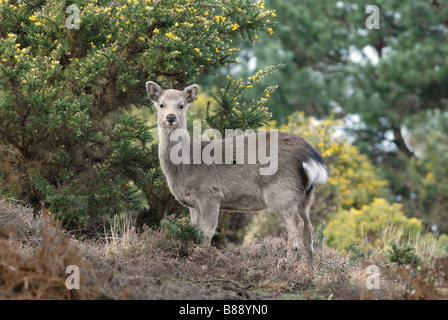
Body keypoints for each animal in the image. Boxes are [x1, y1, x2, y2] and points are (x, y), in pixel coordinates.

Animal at [145, 81, 328, 268]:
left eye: (181, 105)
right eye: (161, 104)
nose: (171, 117)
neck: (186, 166)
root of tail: (310, 157)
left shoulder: (210, 194)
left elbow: (206, 232)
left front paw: (201, 260)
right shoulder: (192, 203)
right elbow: (195, 230)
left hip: (282, 191)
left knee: (296, 224)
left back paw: (287, 264)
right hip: (305, 196)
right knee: (309, 227)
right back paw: (308, 270)